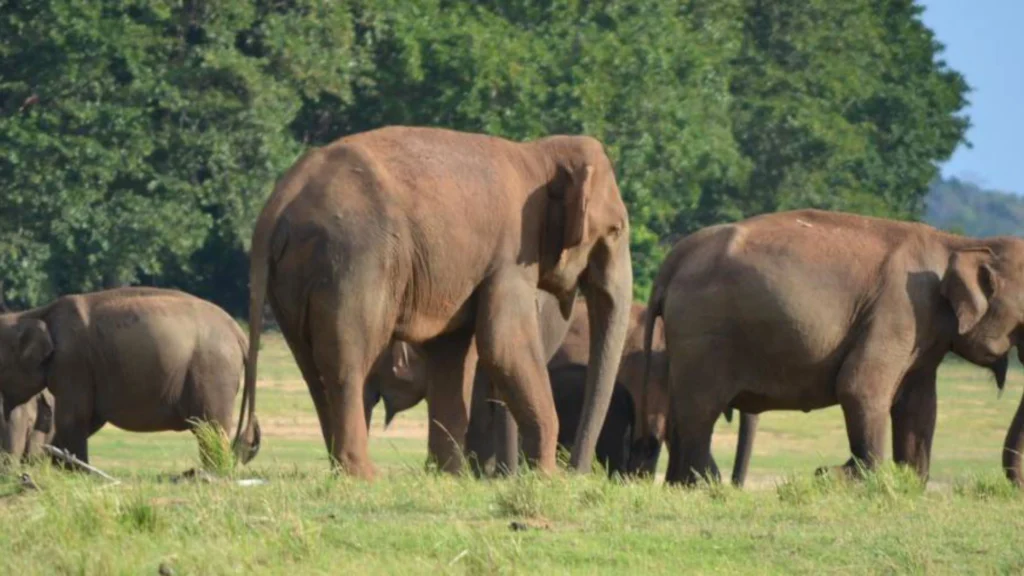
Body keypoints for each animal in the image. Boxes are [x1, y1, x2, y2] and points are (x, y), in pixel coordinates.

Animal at [0, 287, 260, 467]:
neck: (35, 313)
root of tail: (238, 332)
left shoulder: (72, 363)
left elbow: (74, 417)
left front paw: (75, 473)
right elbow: (90, 418)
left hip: (213, 371)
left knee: (211, 427)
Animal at [246, 126, 633, 478]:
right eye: (616, 230)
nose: (576, 473)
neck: (538, 153)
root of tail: (278, 203)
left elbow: (452, 354)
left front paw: (449, 476)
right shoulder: (509, 257)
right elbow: (503, 345)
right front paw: (546, 477)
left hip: (293, 282)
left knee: (312, 369)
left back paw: (341, 468)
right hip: (353, 264)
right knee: (347, 361)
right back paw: (365, 474)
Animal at [646, 209, 1024, 486]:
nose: (1016, 485)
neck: (958, 242)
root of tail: (675, 257)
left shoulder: (924, 333)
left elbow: (919, 406)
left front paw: (909, 484)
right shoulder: (899, 310)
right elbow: (859, 387)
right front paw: (852, 479)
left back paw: (681, 487)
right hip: (702, 332)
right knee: (699, 412)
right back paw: (700, 488)